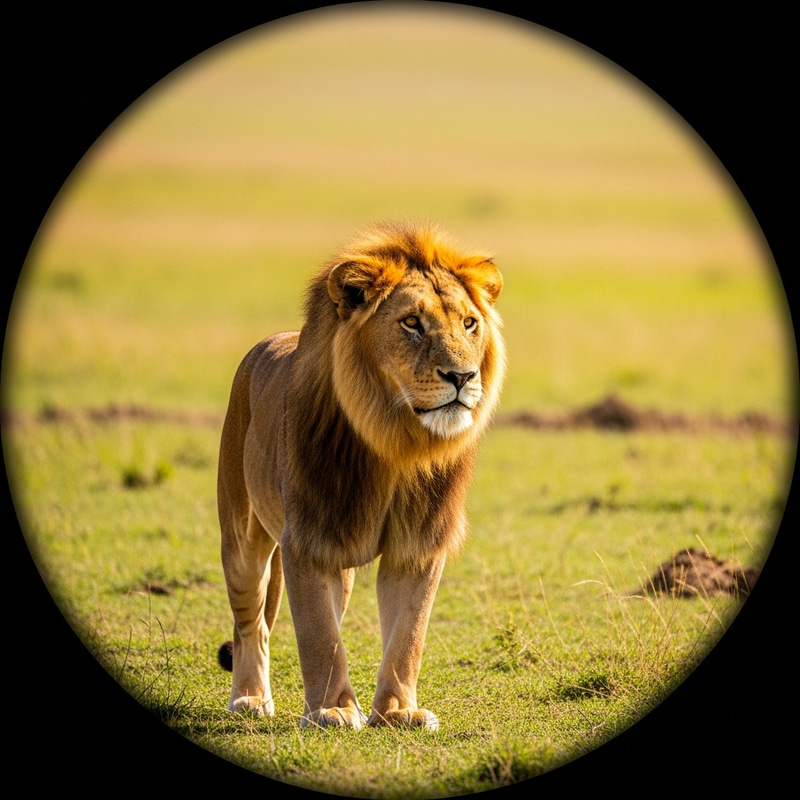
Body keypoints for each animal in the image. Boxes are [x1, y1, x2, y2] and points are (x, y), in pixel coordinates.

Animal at [218, 221, 505, 729]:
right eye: (411, 323)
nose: (462, 376)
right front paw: (331, 710)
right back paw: (249, 698)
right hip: (241, 534)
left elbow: (408, 636)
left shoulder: (418, 545)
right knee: (251, 620)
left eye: (470, 323)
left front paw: (397, 712)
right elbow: (320, 636)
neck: (395, 442)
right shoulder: (309, 538)